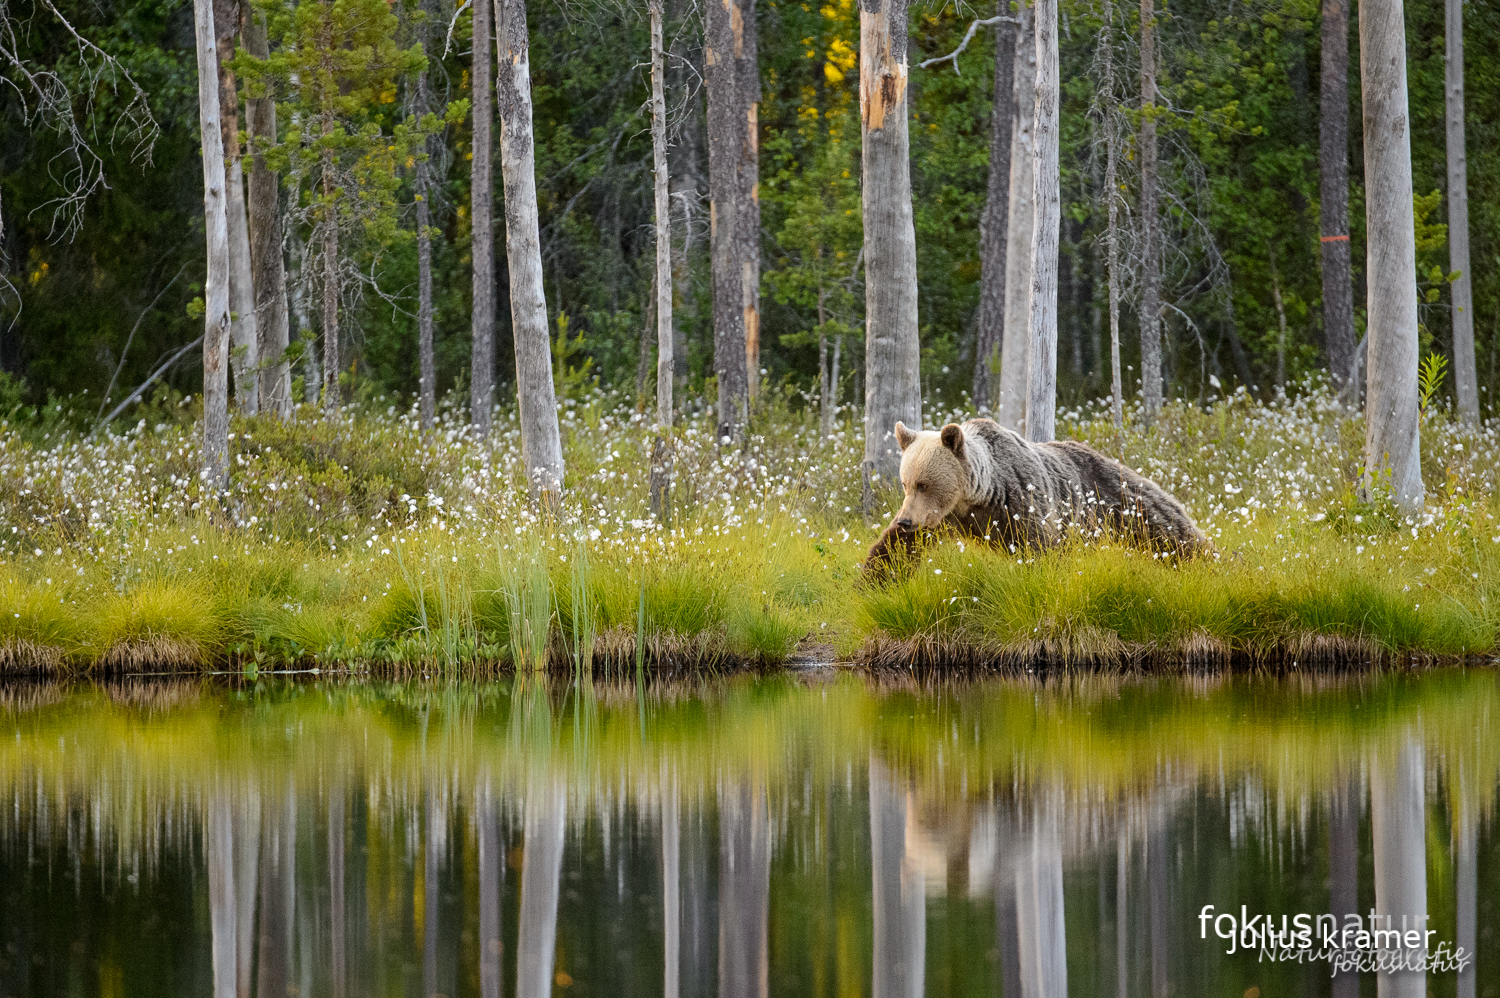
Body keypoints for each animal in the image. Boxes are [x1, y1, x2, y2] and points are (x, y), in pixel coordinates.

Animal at [870, 417, 1206, 573]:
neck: (977, 497)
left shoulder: (1021, 501)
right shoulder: (942, 518)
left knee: (1171, 531)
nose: (905, 521)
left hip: (1119, 501)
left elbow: (1038, 547)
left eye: (924, 484)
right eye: (905, 483)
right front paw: (873, 579)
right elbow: (895, 550)